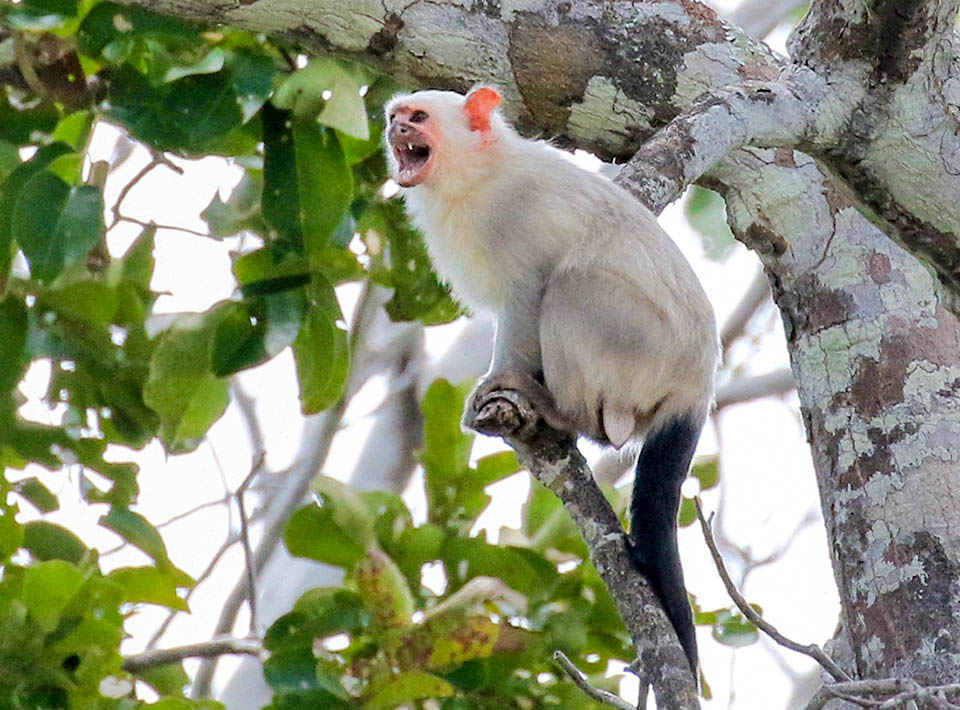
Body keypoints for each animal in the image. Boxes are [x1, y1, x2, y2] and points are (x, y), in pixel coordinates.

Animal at [386, 86, 716, 676]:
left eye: (418, 119)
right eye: (394, 116)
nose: (395, 129)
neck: (477, 175)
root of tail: (697, 388)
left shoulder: (513, 222)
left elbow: (526, 299)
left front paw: (498, 383)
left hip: (639, 340)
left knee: (570, 285)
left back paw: (563, 412)